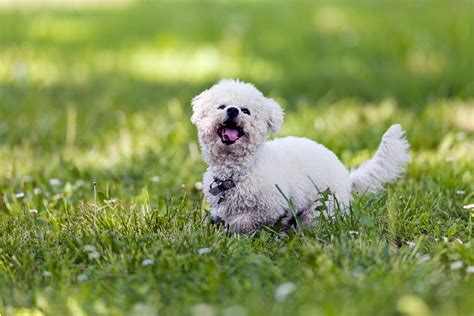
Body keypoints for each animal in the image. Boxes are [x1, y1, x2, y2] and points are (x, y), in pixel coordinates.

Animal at [191, 79, 410, 235]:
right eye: (221, 106)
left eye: (246, 111)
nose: (233, 110)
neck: (238, 171)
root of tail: (346, 176)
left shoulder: (269, 206)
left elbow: (243, 220)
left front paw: (233, 231)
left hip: (323, 207)